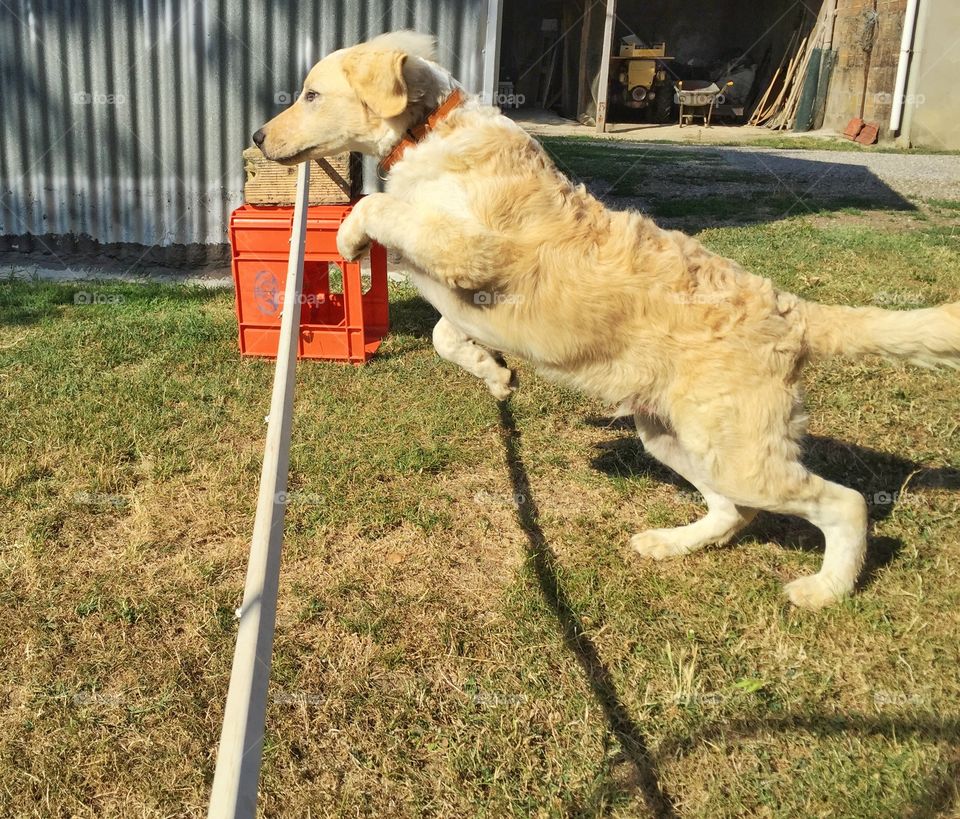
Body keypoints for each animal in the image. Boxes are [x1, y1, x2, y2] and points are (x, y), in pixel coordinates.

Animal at [256, 32, 960, 608]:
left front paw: (348, 238)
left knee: (846, 504)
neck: (427, 130)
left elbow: (376, 208)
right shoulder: (460, 289)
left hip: (739, 452)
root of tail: (792, 312)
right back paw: (673, 543)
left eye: (311, 93)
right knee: (734, 513)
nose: (258, 139)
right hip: (677, 438)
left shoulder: (474, 249)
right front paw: (496, 375)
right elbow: (442, 334)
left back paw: (826, 589)